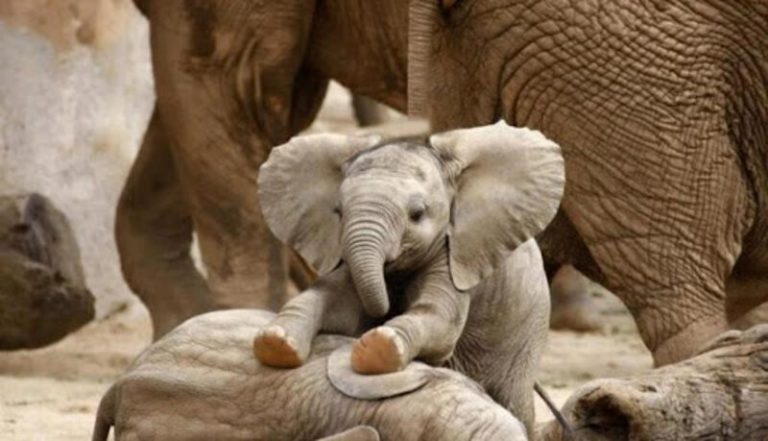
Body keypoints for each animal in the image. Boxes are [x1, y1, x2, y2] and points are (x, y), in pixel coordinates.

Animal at [252, 122, 562, 434]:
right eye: (338, 212)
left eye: (417, 214)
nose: (385, 311)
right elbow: (334, 301)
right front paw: (275, 342)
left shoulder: (453, 253)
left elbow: (439, 319)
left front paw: (378, 347)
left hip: (526, 332)